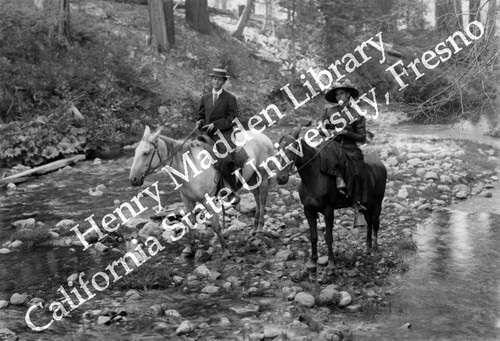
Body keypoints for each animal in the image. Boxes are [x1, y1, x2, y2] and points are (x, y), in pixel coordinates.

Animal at [129, 126, 276, 251]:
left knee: (262, 199)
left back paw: (260, 229)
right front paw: (190, 249)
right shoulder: (187, 200)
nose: (133, 179)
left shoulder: (208, 200)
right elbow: (190, 223)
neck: (189, 168)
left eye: (146, 153)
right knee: (256, 198)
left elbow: (216, 225)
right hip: (251, 179)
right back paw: (254, 229)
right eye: (135, 152)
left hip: (263, 176)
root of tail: (265, 137)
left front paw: (225, 249)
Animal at [274, 127, 386, 274]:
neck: (313, 177)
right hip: (366, 204)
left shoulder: (328, 210)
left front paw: (331, 264)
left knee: (375, 224)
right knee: (369, 222)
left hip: (377, 203)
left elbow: (328, 237)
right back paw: (367, 248)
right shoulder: (308, 210)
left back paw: (375, 249)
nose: (280, 178)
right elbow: (313, 236)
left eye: (293, 148)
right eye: (278, 149)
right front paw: (312, 262)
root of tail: (380, 164)